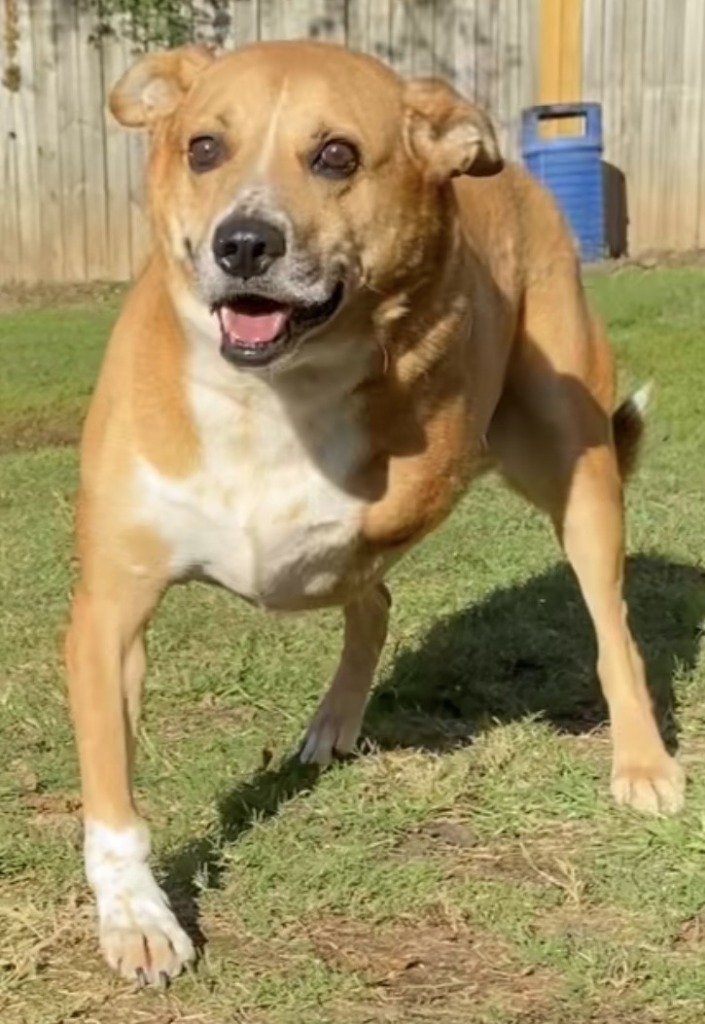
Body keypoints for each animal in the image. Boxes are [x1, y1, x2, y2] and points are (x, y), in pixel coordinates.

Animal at [64, 41, 684, 983]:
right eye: (203, 147)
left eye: (335, 156)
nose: (243, 242)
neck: (269, 394)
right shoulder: (110, 612)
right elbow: (111, 793)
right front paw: (136, 915)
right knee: (374, 599)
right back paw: (334, 720)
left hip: (573, 468)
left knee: (609, 629)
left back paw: (642, 762)